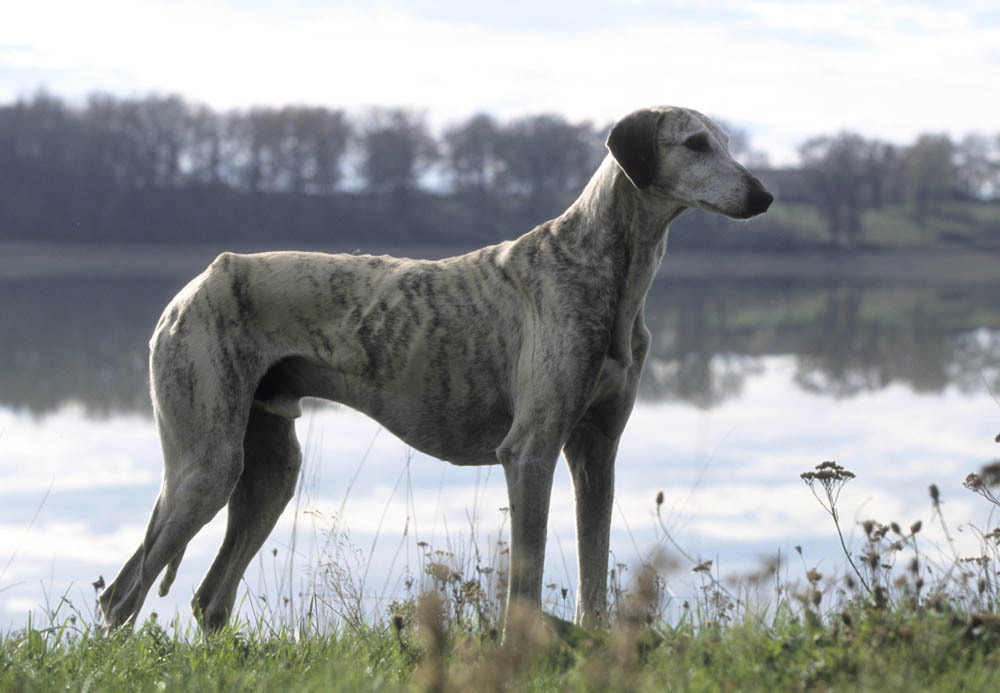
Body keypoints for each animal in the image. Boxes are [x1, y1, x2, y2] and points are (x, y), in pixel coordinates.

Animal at [99, 105, 772, 628]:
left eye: (727, 140)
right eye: (695, 142)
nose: (764, 195)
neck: (603, 272)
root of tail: (197, 282)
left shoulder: (595, 451)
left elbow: (592, 577)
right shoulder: (529, 452)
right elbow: (525, 582)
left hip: (267, 472)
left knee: (208, 599)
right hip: (206, 467)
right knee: (122, 596)